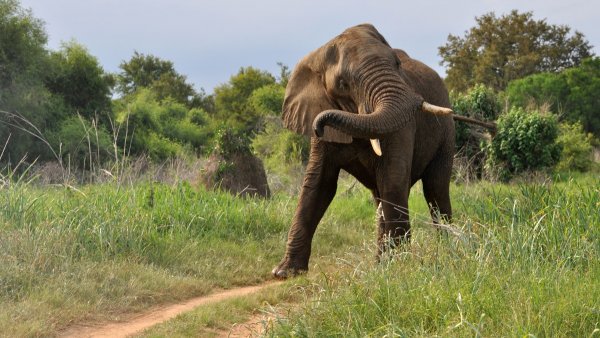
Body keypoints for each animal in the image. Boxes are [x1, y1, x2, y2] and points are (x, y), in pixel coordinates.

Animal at [274, 22, 454, 278]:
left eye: (397, 64)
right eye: (343, 84)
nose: (319, 125)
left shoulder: (404, 126)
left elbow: (393, 180)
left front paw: (400, 266)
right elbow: (318, 185)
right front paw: (285, 272)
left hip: (446, 134)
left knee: (435, 189)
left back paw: (448, 250)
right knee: (381, 197)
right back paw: (380, 263)